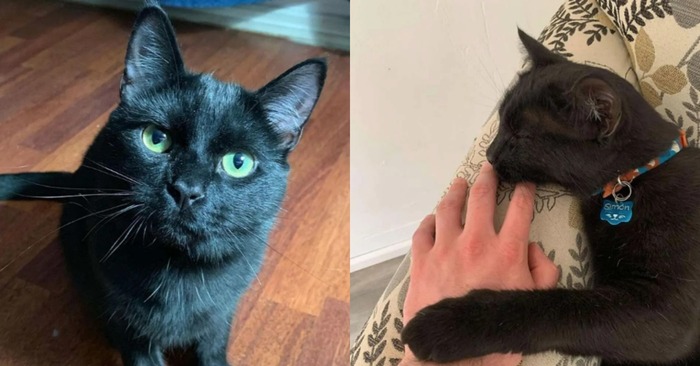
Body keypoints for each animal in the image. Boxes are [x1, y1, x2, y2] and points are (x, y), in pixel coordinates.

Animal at [0, 3, 326, 366]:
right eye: (156, 139)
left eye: (238, 162)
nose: (186, 190)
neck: (179, 272)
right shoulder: (133, 335)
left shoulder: (220, 321)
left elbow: (214, 349)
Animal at [402, 29, 700, 366]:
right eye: (501, 122)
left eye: (521, 136)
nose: (490, 154)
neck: (636, 177)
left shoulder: (669, 315)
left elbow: (559, 309)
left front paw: (446, 325)